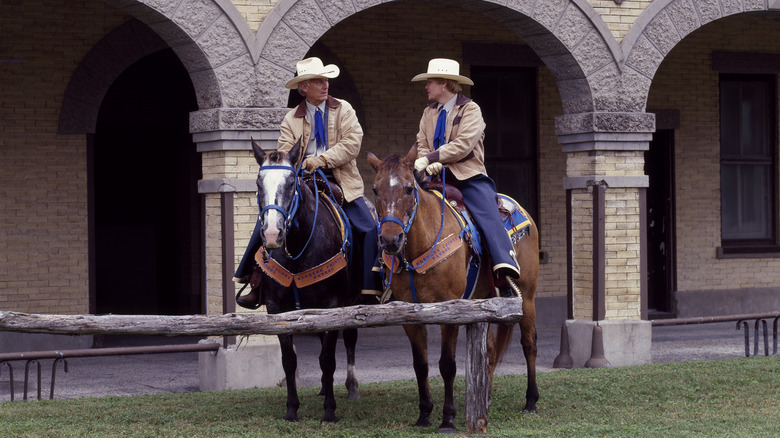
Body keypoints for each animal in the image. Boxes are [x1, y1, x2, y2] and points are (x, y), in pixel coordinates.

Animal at [366, 146, 536, 432]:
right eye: (376, 189)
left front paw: (448, 418)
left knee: (529, 343)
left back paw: (531, 400)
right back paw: (484, 400)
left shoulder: (451, 312)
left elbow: (447, 365)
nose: (390, 240)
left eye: (409, 189)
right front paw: (424, 413)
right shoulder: (410, 315)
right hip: (483, 302)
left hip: (528, 297)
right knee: (489, 352)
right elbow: (421, 364)